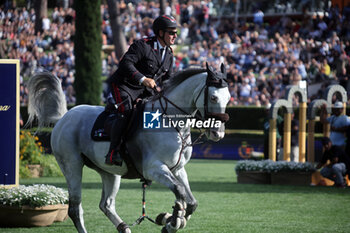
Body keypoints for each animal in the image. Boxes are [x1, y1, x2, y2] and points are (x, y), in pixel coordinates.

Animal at [26, 63, 230, 233]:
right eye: (213, 97)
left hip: (110, 172)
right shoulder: (154, 169)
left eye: (228, 98)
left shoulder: (177, 169)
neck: (169, 121)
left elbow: (191, 202)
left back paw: (124, 228)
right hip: (72, 166)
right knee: (75, 208)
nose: (218, 133)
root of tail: (64, 117)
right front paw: (171, 222)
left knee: (106, 204)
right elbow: (180, 193)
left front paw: (171, 221)